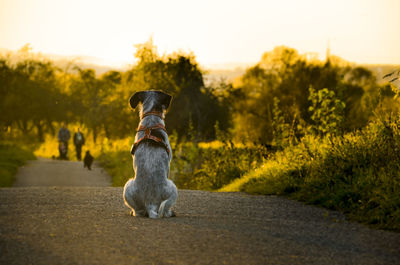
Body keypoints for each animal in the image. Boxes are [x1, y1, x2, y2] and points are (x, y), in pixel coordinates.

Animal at [122, 89, 177, 218]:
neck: (151, 118)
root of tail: (150, 203)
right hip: (173, 188)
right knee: (163, 209)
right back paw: (169, 212)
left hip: (127, 189)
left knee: (138, 211)